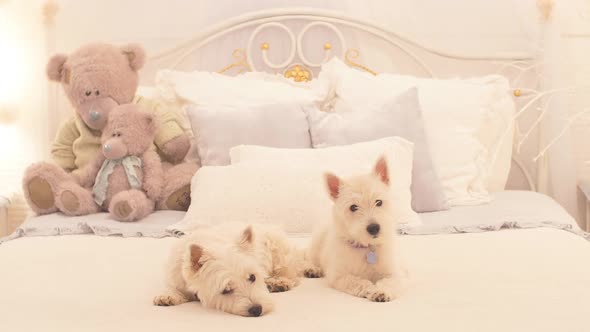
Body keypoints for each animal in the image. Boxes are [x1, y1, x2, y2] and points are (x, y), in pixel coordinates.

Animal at [154, 223, 306, 316]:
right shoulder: (175, 275)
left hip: (281, 254)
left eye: (252, 277)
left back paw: (279, 282)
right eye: (225, 290)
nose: (257, 309)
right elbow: (171, 287)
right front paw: (167, 296)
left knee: (292, 273)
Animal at [306, 156, 408, 300]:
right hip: (316, 244)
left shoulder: (395, 272)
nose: (374, 228)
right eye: (353, 207)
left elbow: (390, 281)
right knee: (308, 257)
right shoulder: (339, 276)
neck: (367, 248)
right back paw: (312, 269)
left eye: (379, 202)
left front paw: (381, 291)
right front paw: (369, 289)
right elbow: (356, 281)